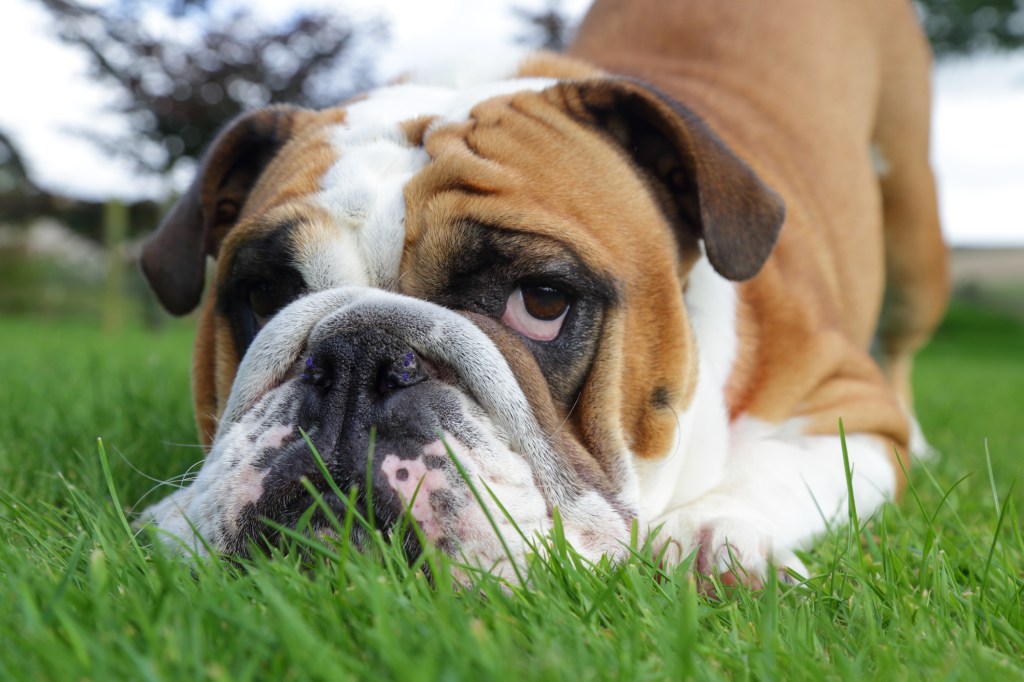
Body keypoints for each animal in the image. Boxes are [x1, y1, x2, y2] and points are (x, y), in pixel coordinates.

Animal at [136, 1, 942, 585]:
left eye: (542, 301)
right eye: (267, 292)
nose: (359, 355)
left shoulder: (851, 411)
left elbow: (780, 466)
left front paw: (713, 536)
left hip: (912, 230)